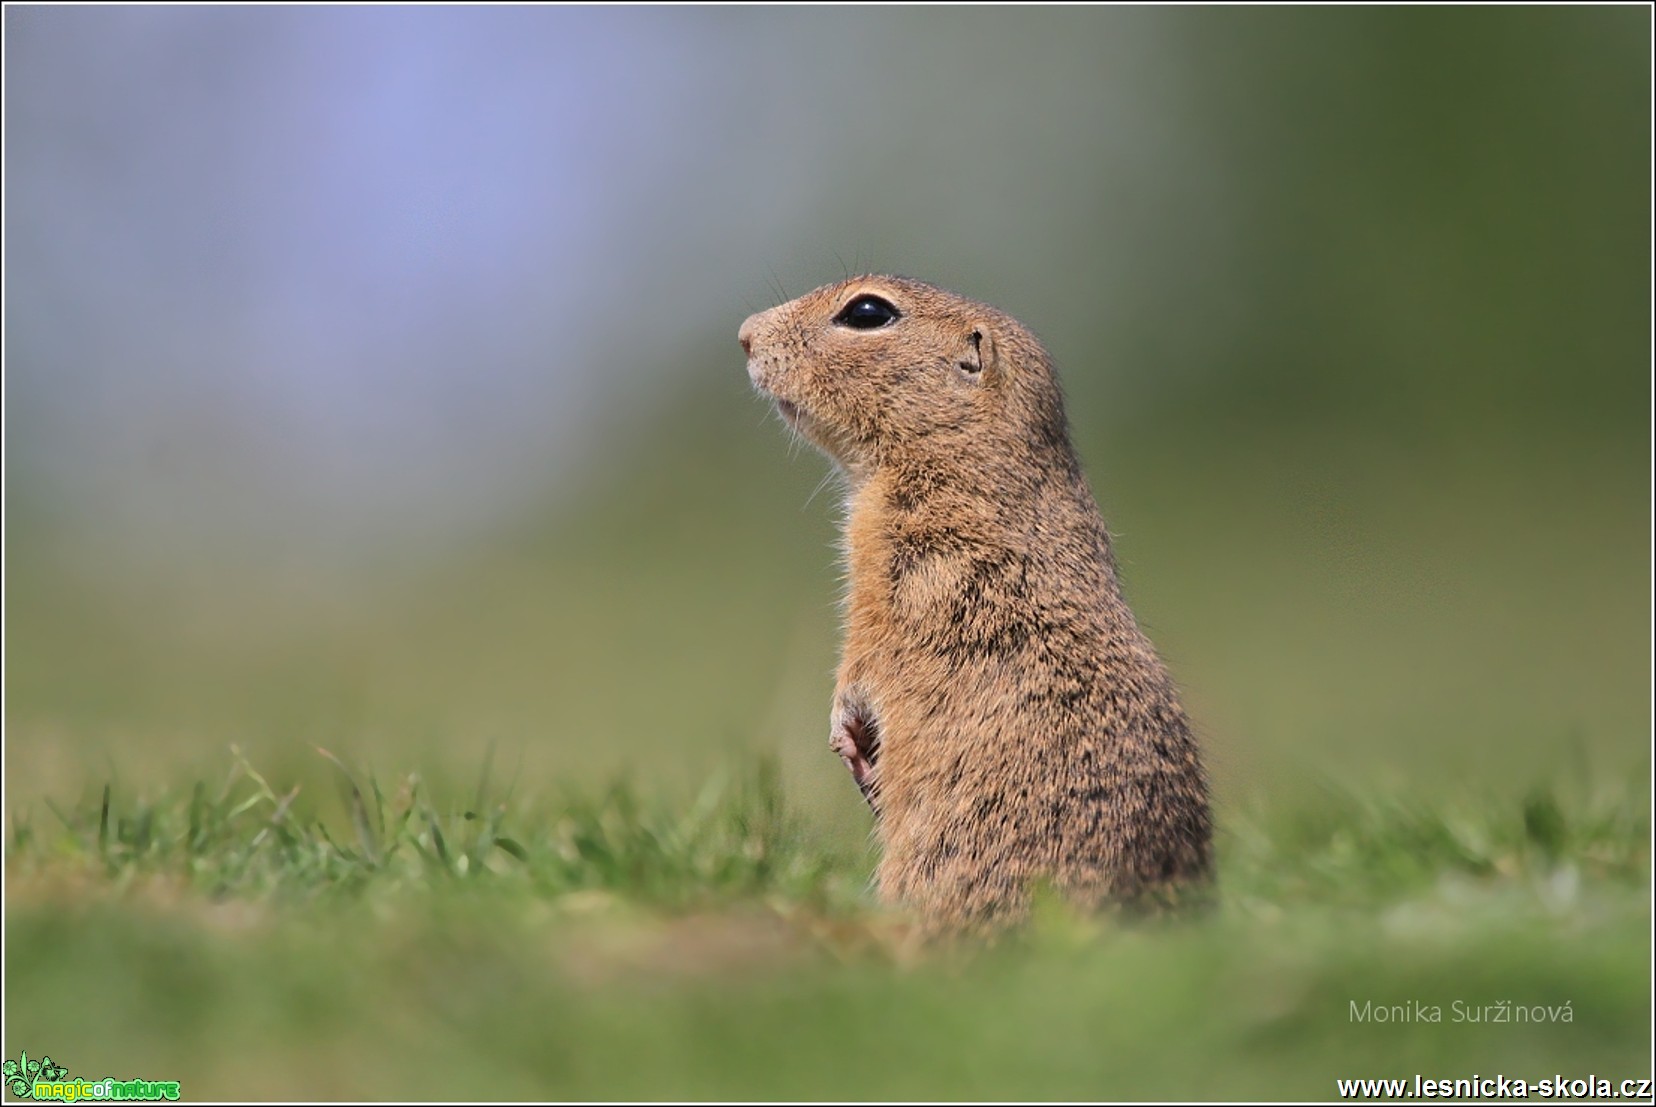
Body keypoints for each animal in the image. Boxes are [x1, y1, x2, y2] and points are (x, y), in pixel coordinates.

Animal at [745, 271, 1212, 928]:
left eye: (867, 312)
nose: (744, 335)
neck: (959, 451)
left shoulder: (901, 565)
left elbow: (865, 656)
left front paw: (845, 731)